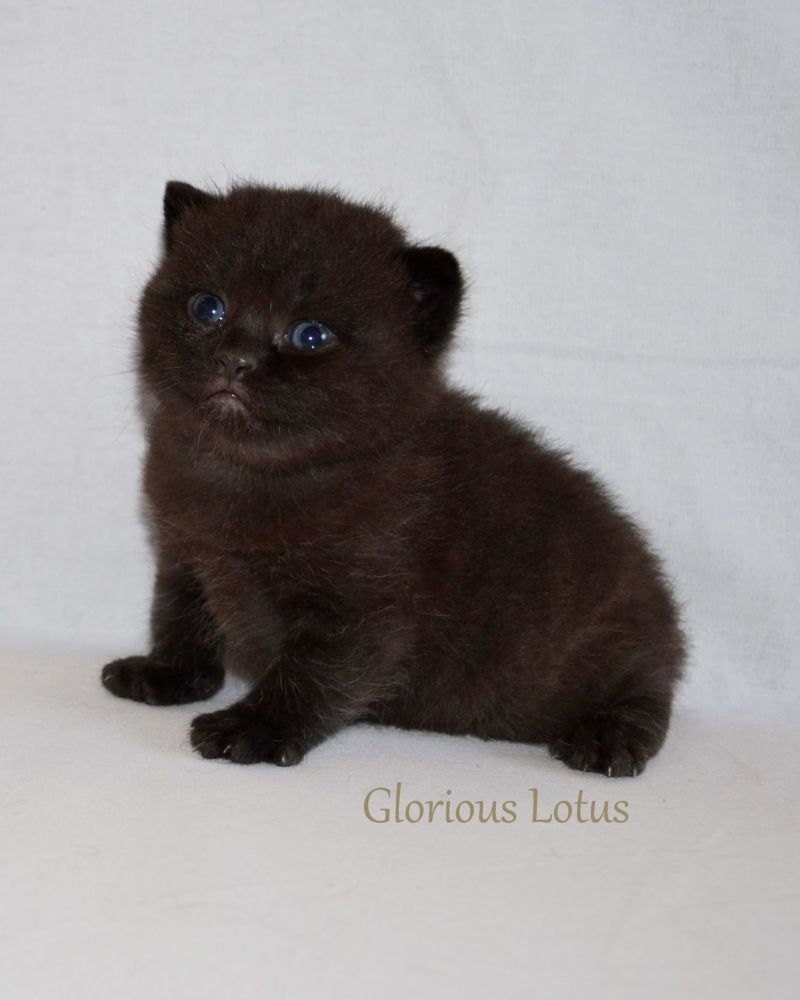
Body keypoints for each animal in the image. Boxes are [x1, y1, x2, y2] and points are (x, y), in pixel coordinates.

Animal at [101, 181, 686, 776]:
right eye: (207, 307)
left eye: (310, 335)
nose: (235, 359)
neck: (246, 472)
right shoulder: (184, 555)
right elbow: (178, 617)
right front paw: (165, 673)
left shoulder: (365, 605)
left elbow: (313, 674)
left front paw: (253, 726)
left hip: (618, 643)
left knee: (647, 695)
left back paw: (607, 737)